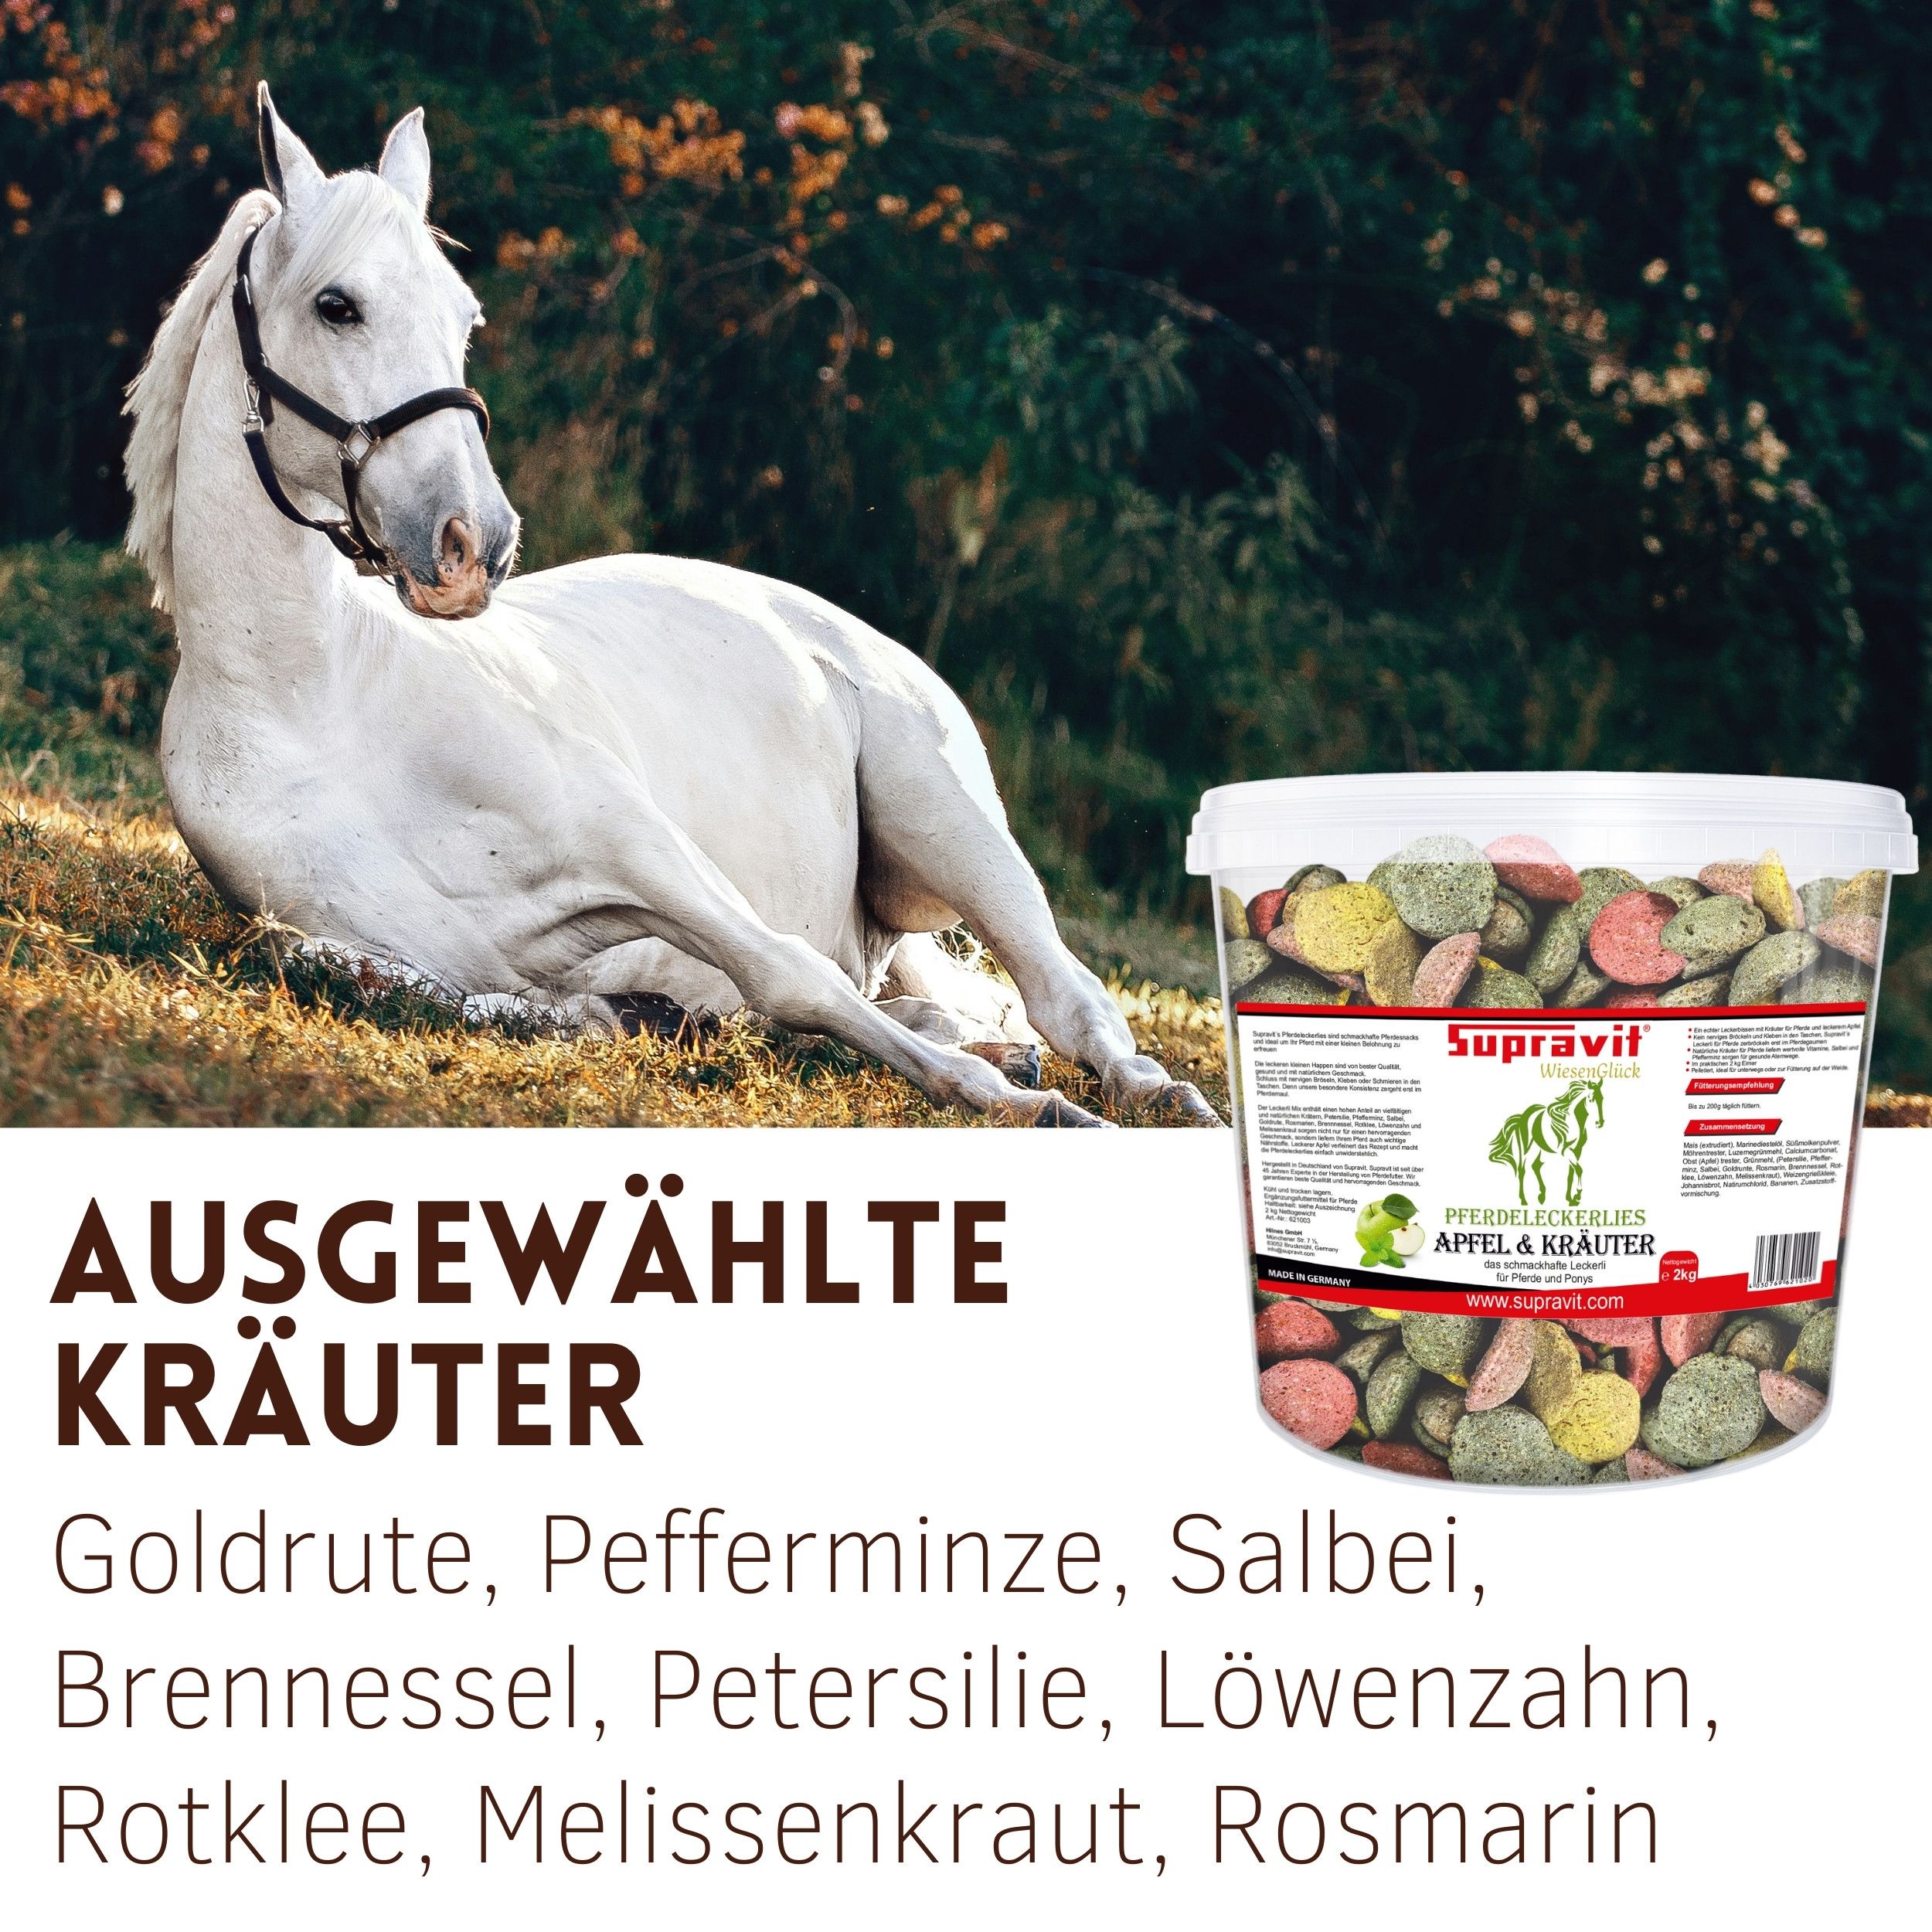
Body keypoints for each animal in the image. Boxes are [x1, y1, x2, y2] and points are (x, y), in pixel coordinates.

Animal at [123, 87, 1219, 1128]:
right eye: (337, 305)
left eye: (464, 318)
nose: (475, 544)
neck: (317, 700)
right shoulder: (356, 941)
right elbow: (391, 976)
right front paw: (618, 1016)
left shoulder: (642, 851)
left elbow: (790, 972)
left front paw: (1017, 1104)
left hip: (955, 831)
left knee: (1066, 997)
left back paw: (1146, 1091)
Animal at [1487, 1075, 1607, 1207]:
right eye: (1591, 1099)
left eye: (1602, 1099)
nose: (1600, 1123)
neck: (1574, 1123)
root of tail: (1522, 1117)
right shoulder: (1566, 1151)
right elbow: (1579, 1170)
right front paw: (1577, 1196)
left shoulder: (1577, 1150)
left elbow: (1571, 1174)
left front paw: (1570, 1199)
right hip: (1525, 1149)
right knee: (1522, 1170)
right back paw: (1524, 1200)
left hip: (1539, 1148)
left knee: (1536, 1166)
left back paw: (1542, 1196)